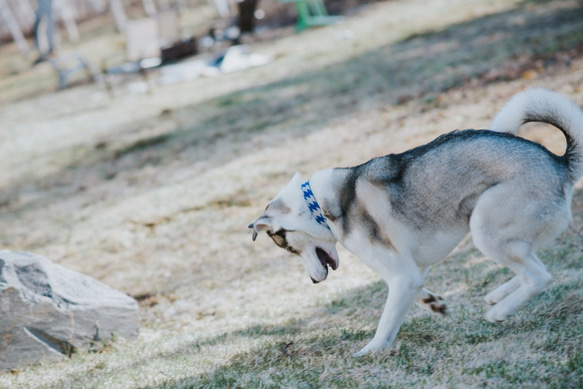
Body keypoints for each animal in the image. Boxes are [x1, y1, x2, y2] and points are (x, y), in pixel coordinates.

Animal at [248, 89, 583, 356]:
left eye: (288, 249)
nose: (314, 282)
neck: (318, 203)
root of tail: (559, 162)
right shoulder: (412, 270)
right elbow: (408, 303)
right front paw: (432, 303)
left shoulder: (403, 275)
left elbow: (385, 323)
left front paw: (369, 352)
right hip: (508, 234)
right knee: (533, 266)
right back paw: (497, 295)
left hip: (484, 230)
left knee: (539, 277)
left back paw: (499, 310)